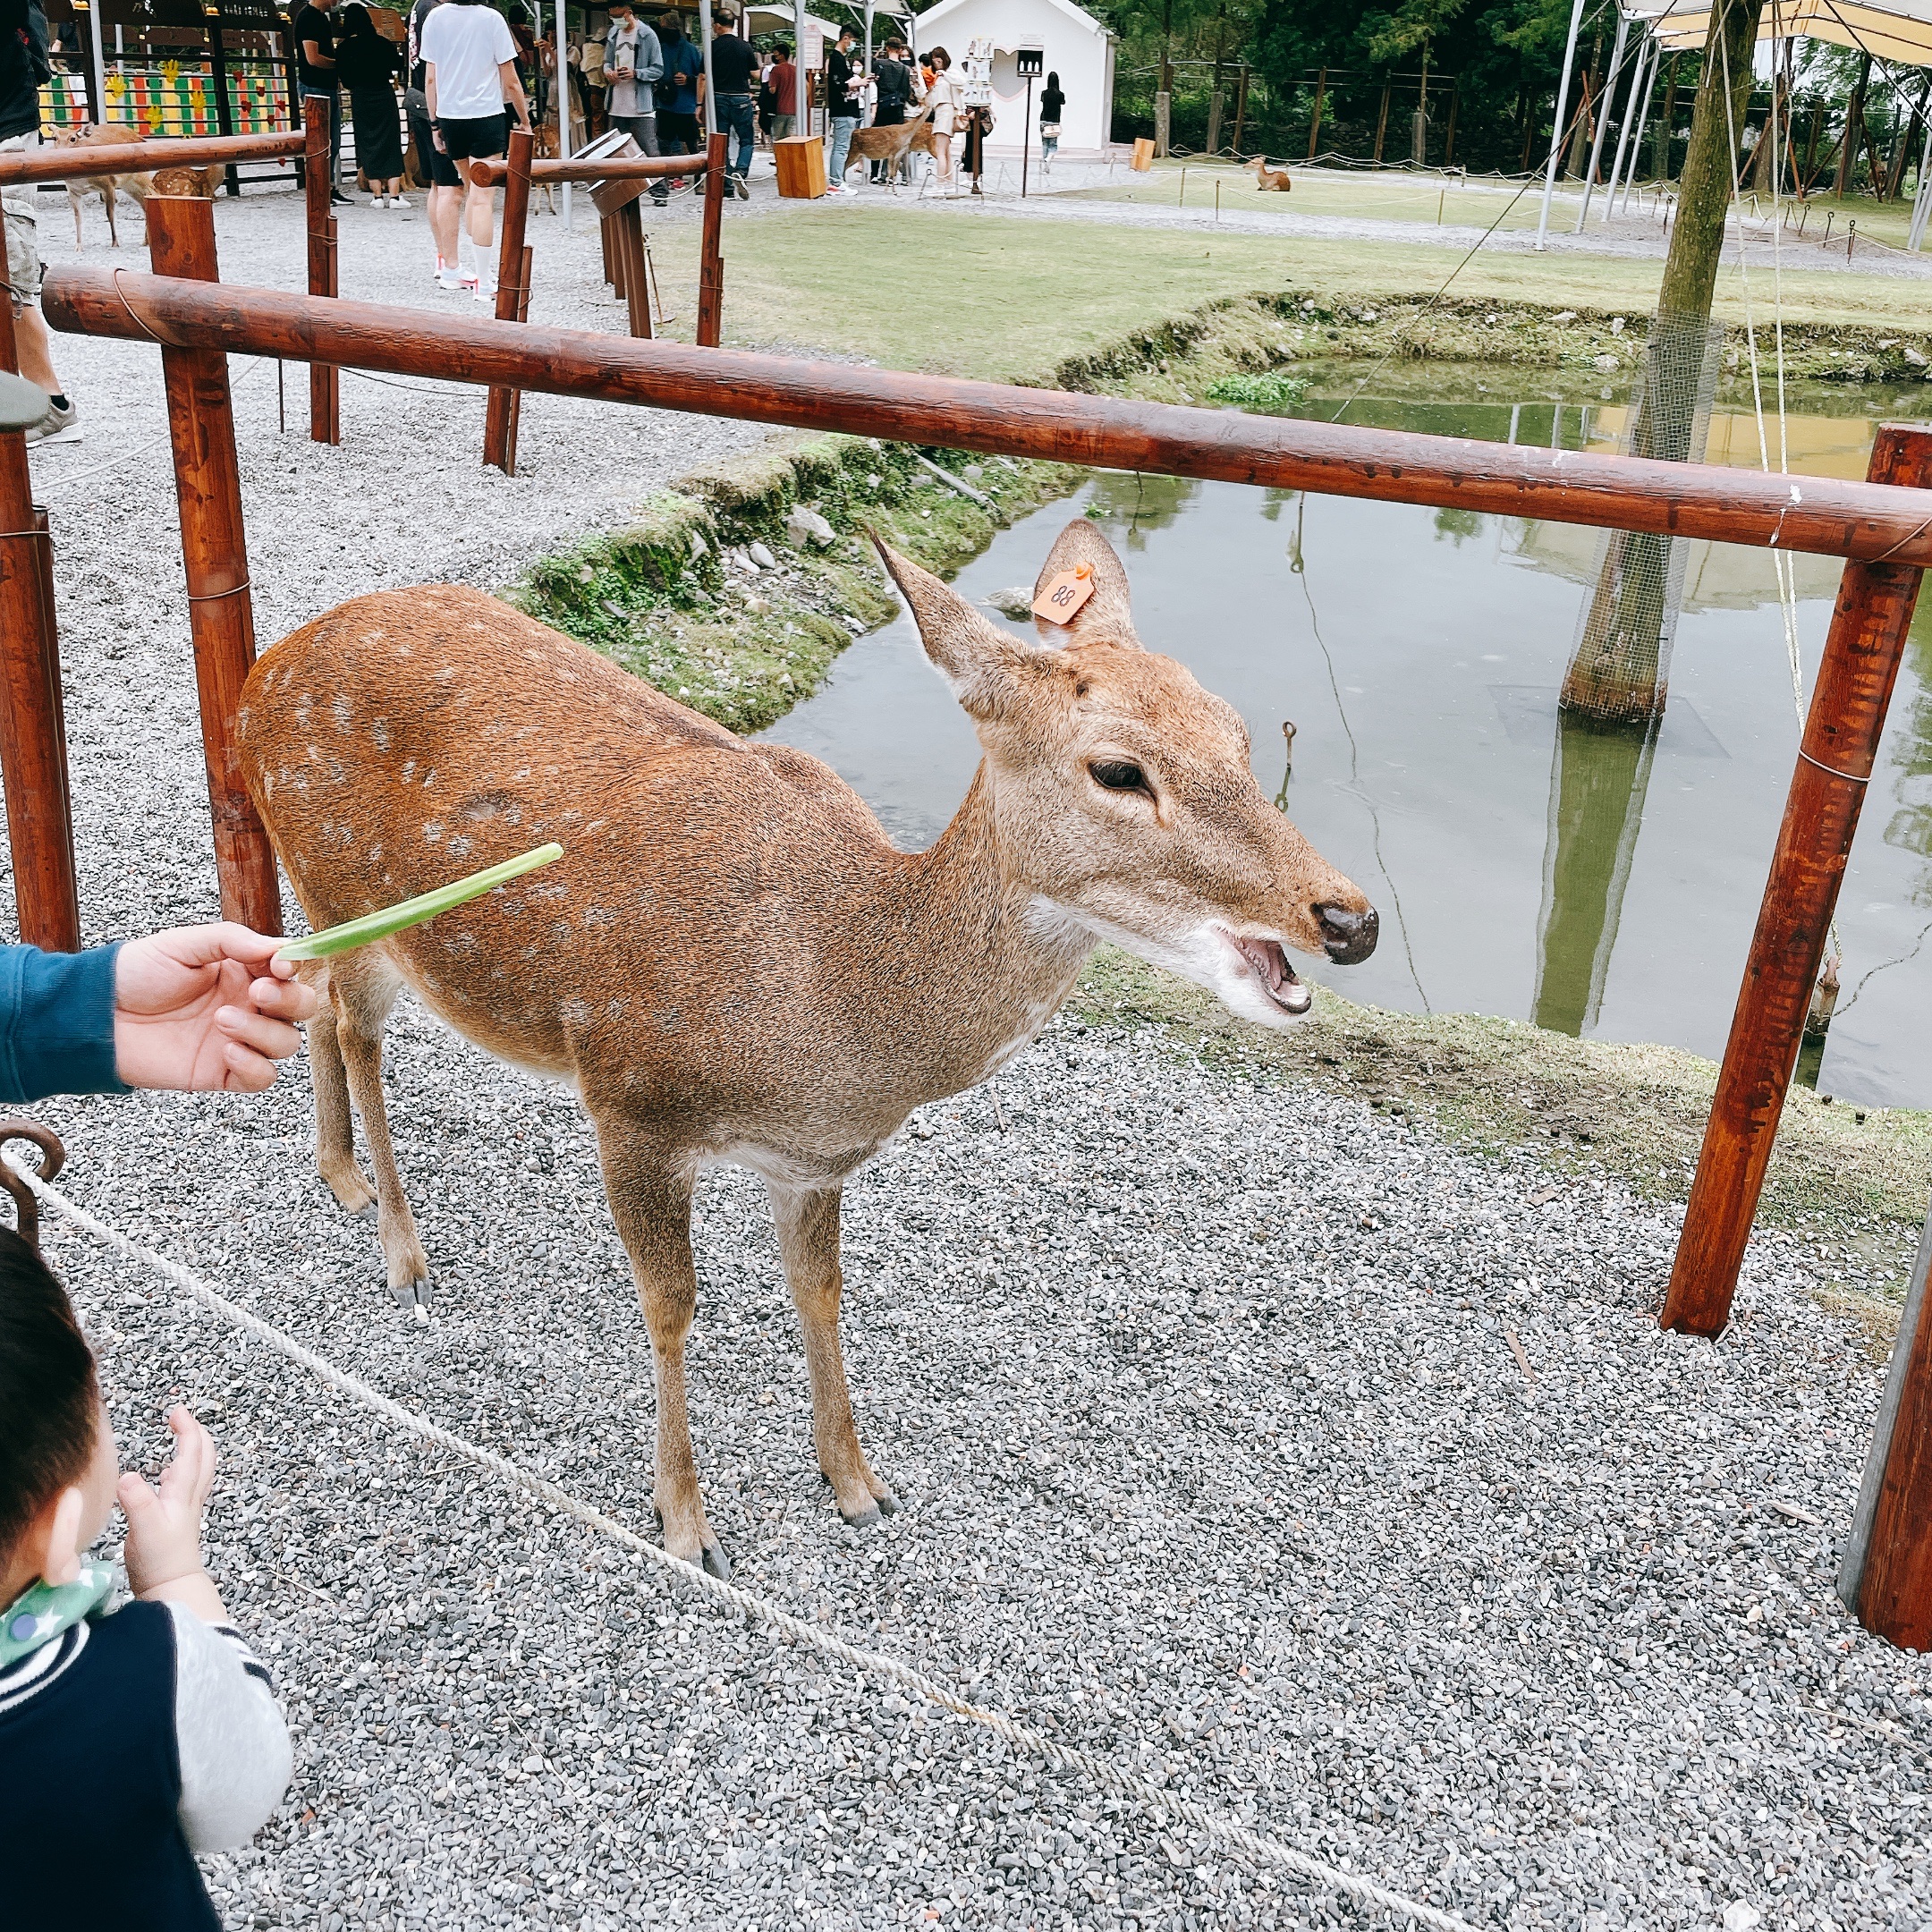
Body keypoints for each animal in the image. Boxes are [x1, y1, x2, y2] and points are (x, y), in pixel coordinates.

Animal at [234, 520, 1378, 1578]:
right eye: (1117, 770)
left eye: (1239, 732)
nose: (1349, 920)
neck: (823, 1007)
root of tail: (260, 674)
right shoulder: (627, 1093)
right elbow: (671, 1305)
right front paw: (686, 1525)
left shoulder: (815, 1161)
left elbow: (818, 1289)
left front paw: (857, 1484)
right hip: (354, 893)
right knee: (354, 1025)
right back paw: (402, 1249)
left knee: (302, 985)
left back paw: (340, 1178)